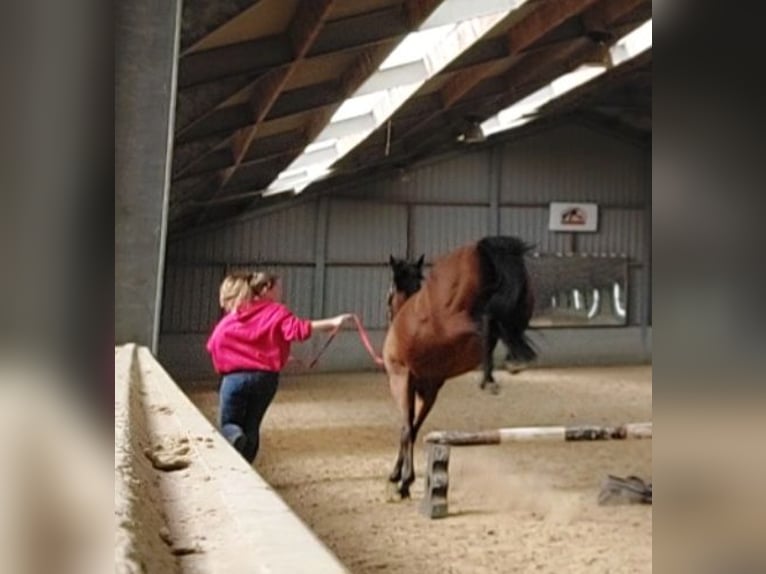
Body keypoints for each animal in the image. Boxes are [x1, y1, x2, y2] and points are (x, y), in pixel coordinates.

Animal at [382, 236, 536, 498]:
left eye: (389, 293)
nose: (390, 313)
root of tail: (480, 248)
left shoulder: (401, 381)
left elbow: (407, 429)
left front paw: (402, 481)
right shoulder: (430, 391)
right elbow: (413, 428)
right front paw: (401, 476)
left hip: (458, 320)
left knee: (487, 320)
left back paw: (493, 375)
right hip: (524, 302)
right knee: (506, 324)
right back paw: (508, 364)